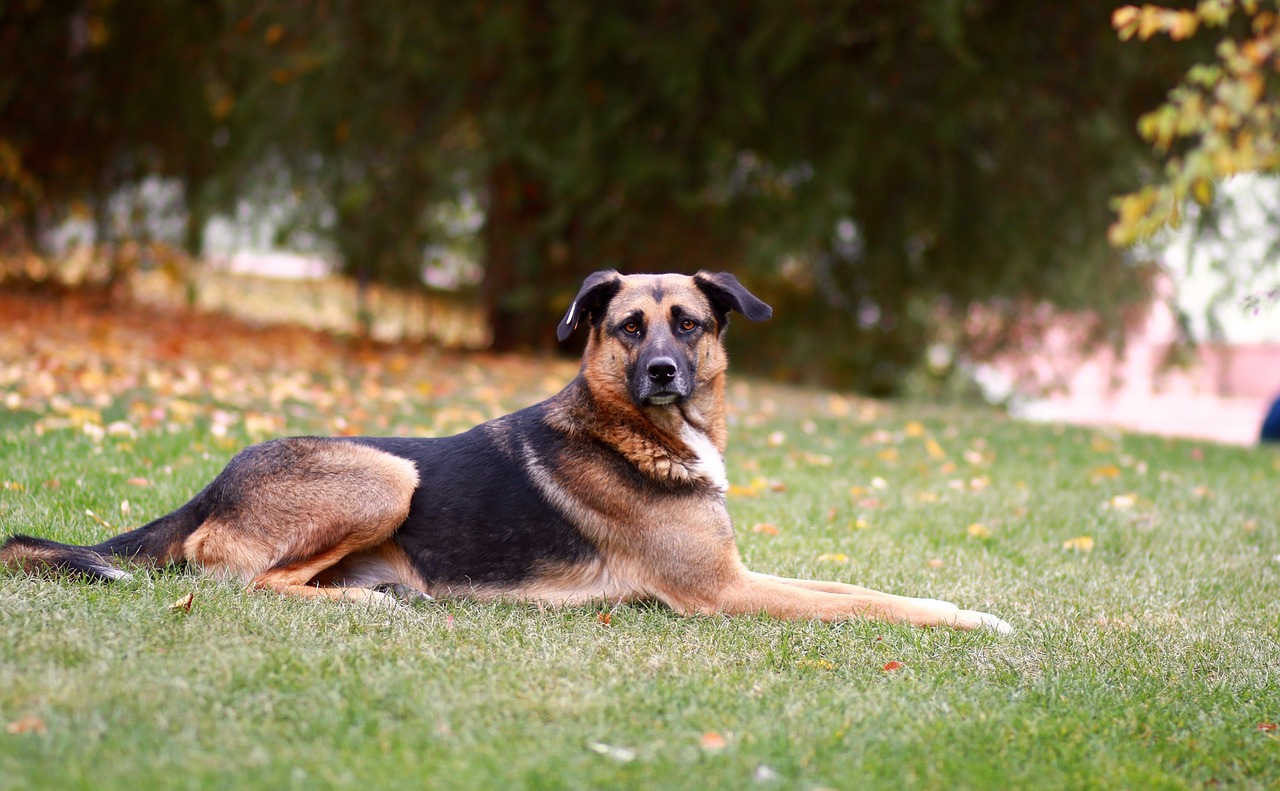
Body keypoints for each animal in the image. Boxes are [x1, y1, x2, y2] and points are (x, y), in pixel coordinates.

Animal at [5, 273, 1013, 632]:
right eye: (627, 325)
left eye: (687, 323)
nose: (661, 373)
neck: (633, 430)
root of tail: (213, 485)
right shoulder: (721, 592)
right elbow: (871, 603)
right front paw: (972, 621)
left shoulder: (738, 572)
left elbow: (859, 586)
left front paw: (962, 605)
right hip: (389, 470)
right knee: (236, 576)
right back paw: (370, 604)